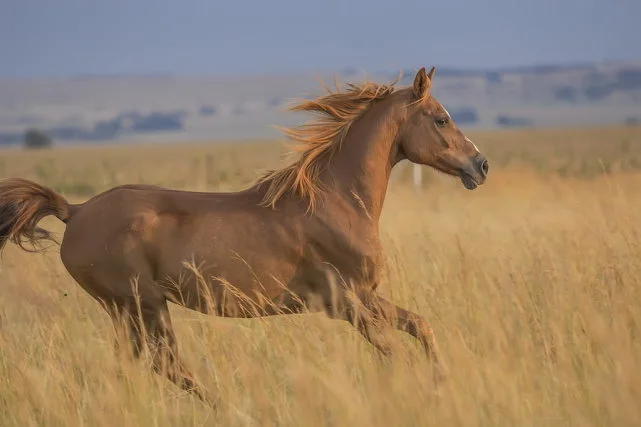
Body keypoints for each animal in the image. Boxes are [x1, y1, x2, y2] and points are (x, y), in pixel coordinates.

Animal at [0, 67, 488, 404]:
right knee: (167, 364)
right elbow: (393, 351)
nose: (480, 165)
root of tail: (76, 210)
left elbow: (421, 326)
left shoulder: (366, 296)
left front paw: (443, 381)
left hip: (128, 310)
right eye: (441, 119)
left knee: (141, 365)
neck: (337, 200)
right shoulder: (346, 302)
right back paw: (226, 406)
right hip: (141, 304)